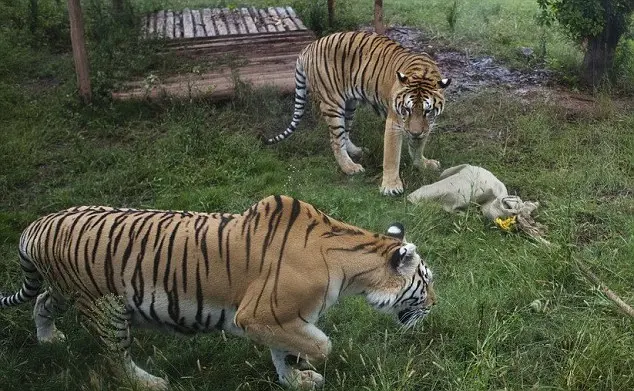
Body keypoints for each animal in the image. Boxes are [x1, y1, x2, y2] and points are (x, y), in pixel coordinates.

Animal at [0, 196, 434, 391]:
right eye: (426, 282)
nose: (435, 305)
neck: (348, 266)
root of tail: (37, 224)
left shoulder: (277, 318)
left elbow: (283, 352)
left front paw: (294, 380)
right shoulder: (260, 315)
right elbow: (320, 344)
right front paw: (306, 367)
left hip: (66, 289)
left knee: (42, 302)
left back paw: (48, 338)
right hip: (106, 309)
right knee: (115, 360)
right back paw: (150, 383)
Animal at [260, 31, 450, 198]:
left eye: (427, 111)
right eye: (407, 109)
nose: (414, 133)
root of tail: (308, 47)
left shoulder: (427, 125)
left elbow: (418, 147)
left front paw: (423, 164)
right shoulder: (395, 122)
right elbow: (391, 156)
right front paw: (391, 187)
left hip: (350, 104)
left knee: (345, 132)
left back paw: (357, 151)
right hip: (333, 103)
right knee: (335, 140)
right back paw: (350, 168)